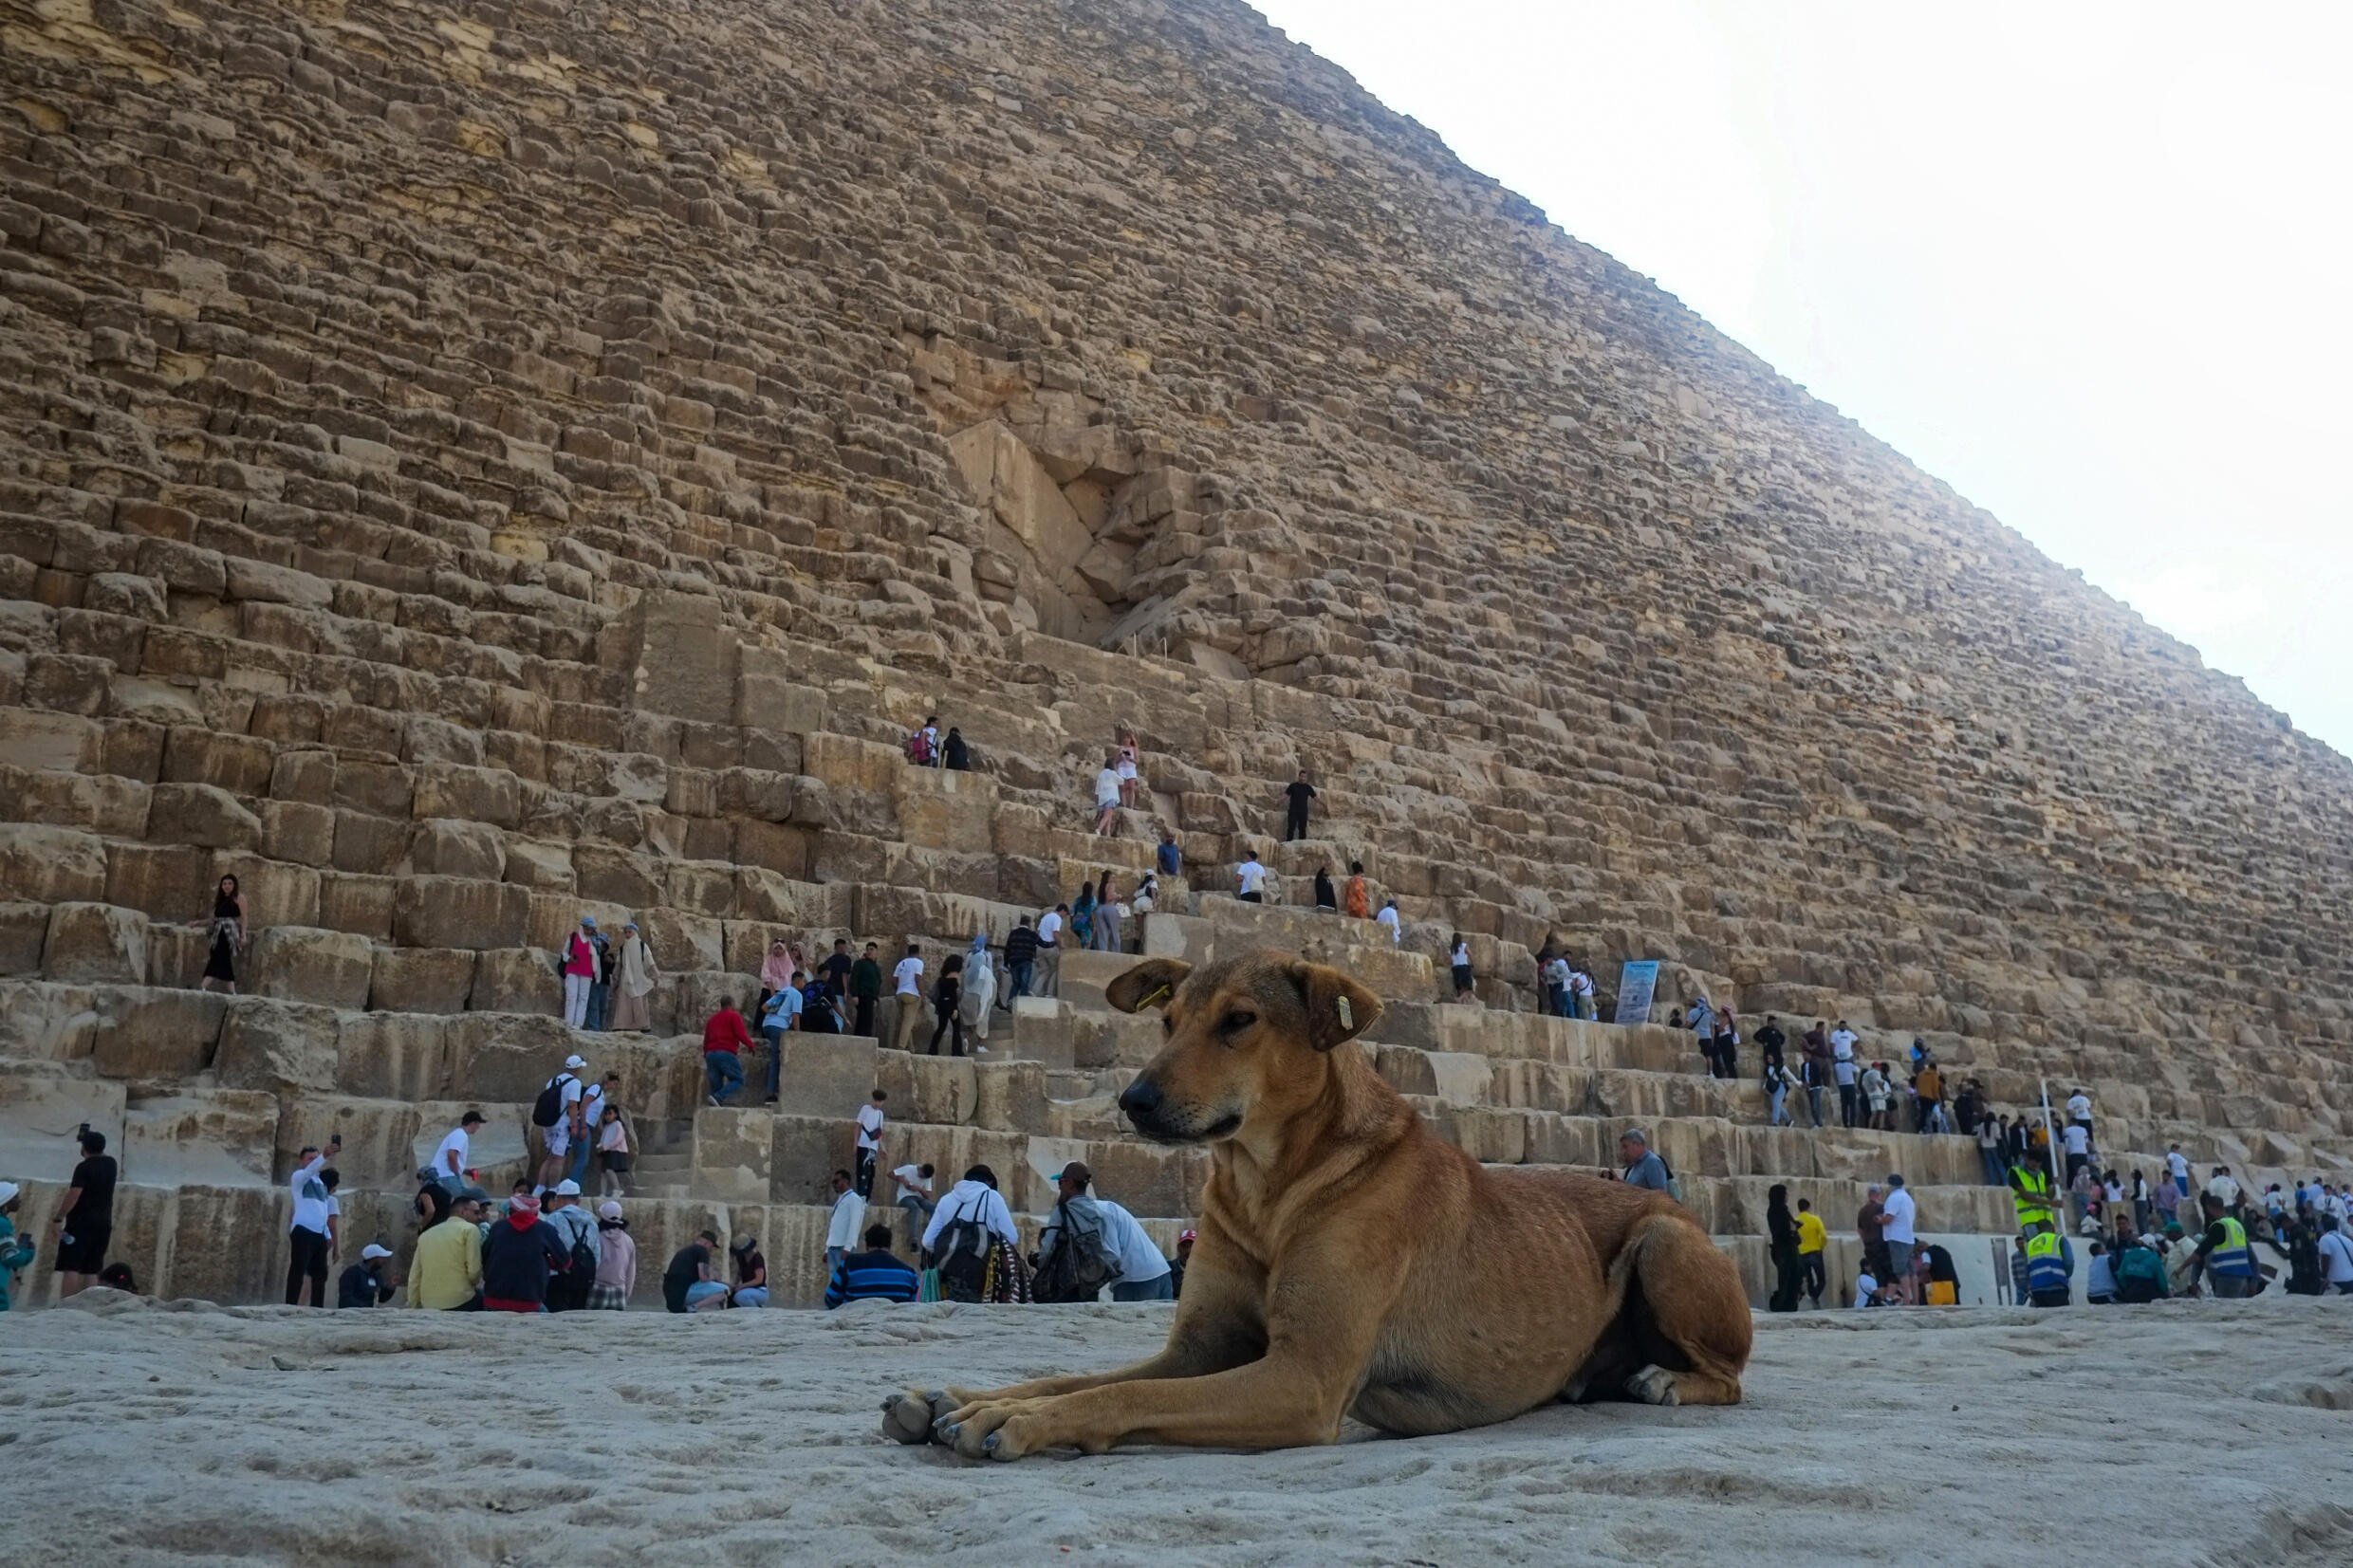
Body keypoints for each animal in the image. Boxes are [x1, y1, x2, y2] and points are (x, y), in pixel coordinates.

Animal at [884, 950, 1751, 1467]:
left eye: (1239, 1020)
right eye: (1167, 1021)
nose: (1133, 1100)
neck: (1271, 1187)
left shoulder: (1302, 1378)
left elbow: (1119, 1394)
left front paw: (1011, 1422)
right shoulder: (1198, 1351)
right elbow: (1073, 1375)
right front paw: (963, 1398)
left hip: (1663, 1239)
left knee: (1730, 1376)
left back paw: (1667, 1381)